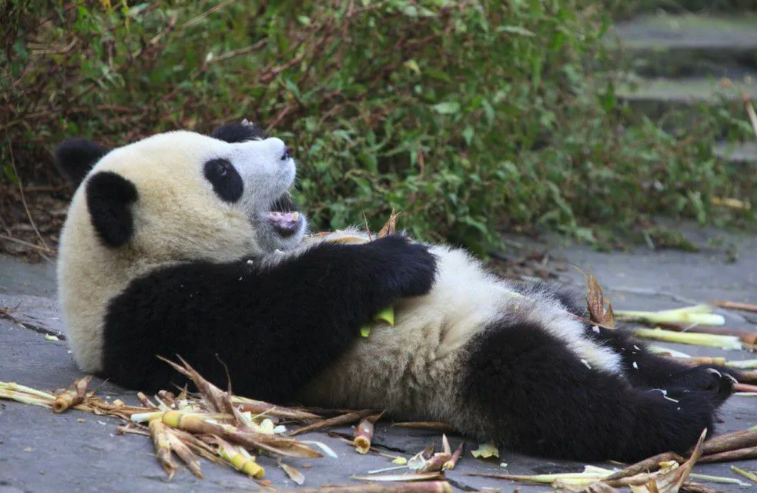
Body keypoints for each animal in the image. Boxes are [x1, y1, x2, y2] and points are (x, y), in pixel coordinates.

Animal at [56, 122, 736, 462]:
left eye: (224, 144)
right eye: (222, 173)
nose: (281, 144)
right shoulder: (153, 316)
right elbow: (262, 334)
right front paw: (402, 259)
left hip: (550, 312)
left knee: (611, 341)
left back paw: (702, 377)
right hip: (465, 362)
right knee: (553, 391)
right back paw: (683, 413)